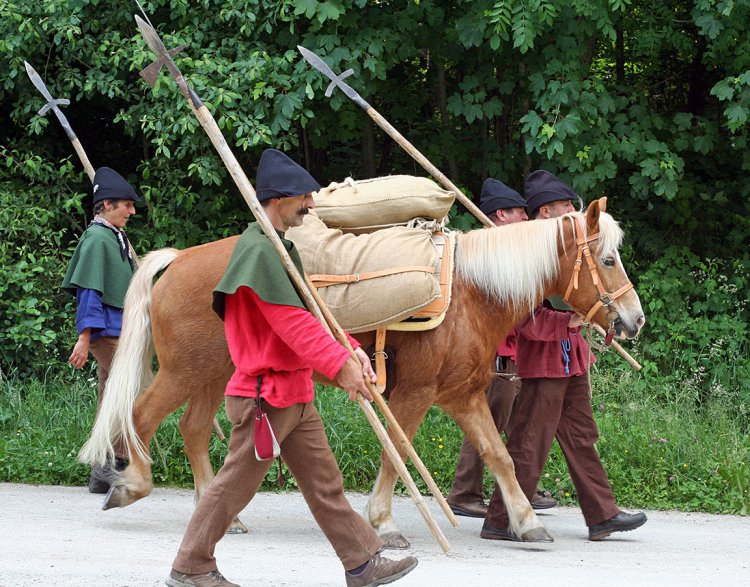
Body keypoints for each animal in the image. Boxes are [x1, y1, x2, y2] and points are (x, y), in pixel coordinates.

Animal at [81, 200, 648, 548]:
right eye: (608, 259)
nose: (635, 318)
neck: (470, 293)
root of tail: (178, 260)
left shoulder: (464, 398)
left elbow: (500, 456)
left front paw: (527, 522)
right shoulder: (413, 395)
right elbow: (397, 454)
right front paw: (384, 521)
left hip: (213, 374)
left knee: (194, 429)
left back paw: (221, 512)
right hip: (184, 372)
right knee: (140, 416)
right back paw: (130, 483)